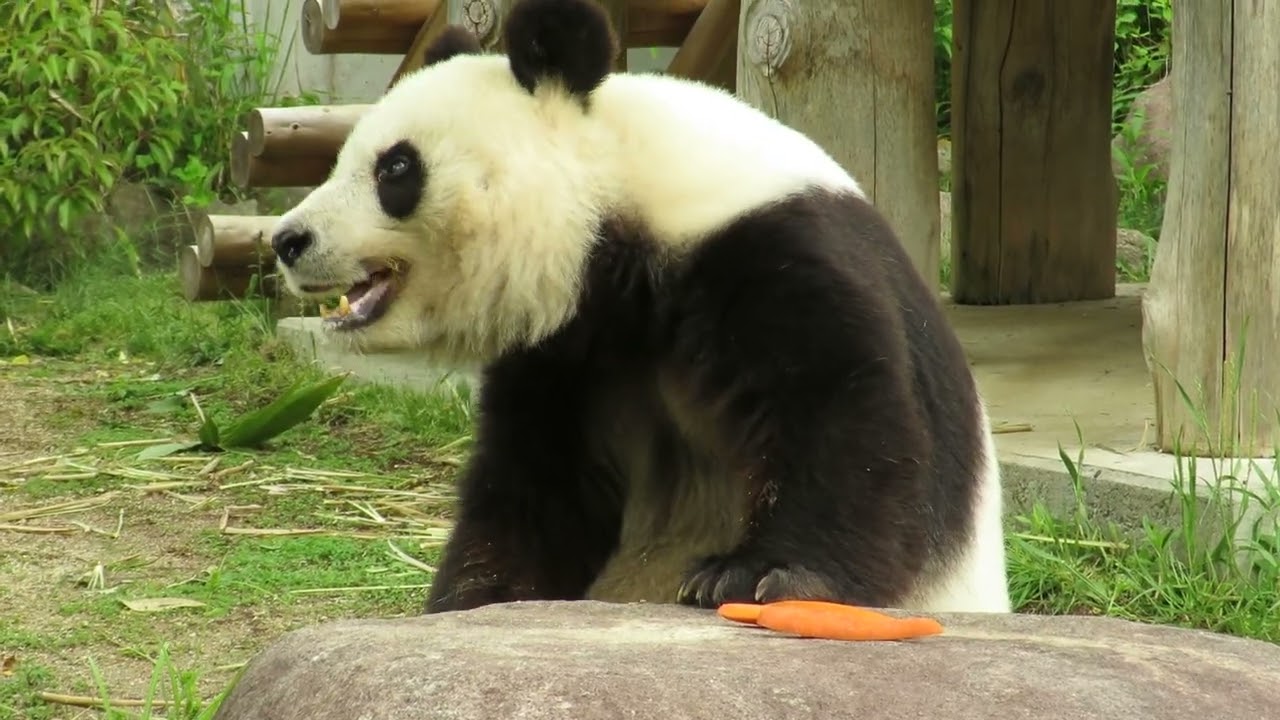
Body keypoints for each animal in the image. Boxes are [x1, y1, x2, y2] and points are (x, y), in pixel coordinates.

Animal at [270, 0, 1012, 615]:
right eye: (342, 157)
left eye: (395, 168)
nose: (287, 240)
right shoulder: (568, 348)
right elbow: (537, 490)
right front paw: (476, 596)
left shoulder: (770, 245)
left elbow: (847, 413)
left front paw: (759, 575)